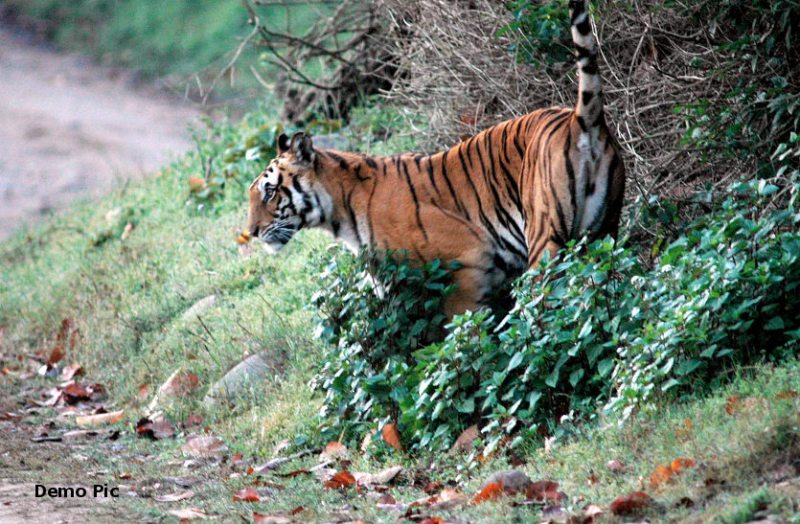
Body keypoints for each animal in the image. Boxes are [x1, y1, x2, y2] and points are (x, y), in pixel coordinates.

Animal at [246, 0, 625, 318]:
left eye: (270, 191)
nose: (251, 232)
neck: (340, 213)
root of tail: (580, 119)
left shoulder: (466, 258)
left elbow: (461, 329)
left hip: (544, 241)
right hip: (604, 229)